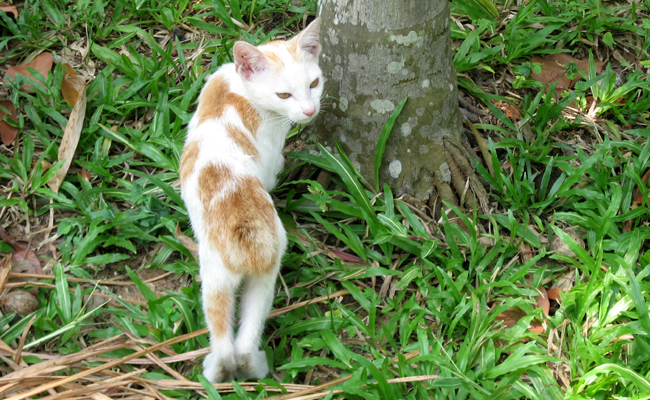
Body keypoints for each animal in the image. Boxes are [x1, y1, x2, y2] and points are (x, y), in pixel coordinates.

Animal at [178, 19, 322, 384]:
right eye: (284, 95)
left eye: (314, 84)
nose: (309, 110)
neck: (237, 88)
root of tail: (247, 226)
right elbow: (273, 171)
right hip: (257, 272)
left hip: (224, 278)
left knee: (230, 339)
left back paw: (221, 370)